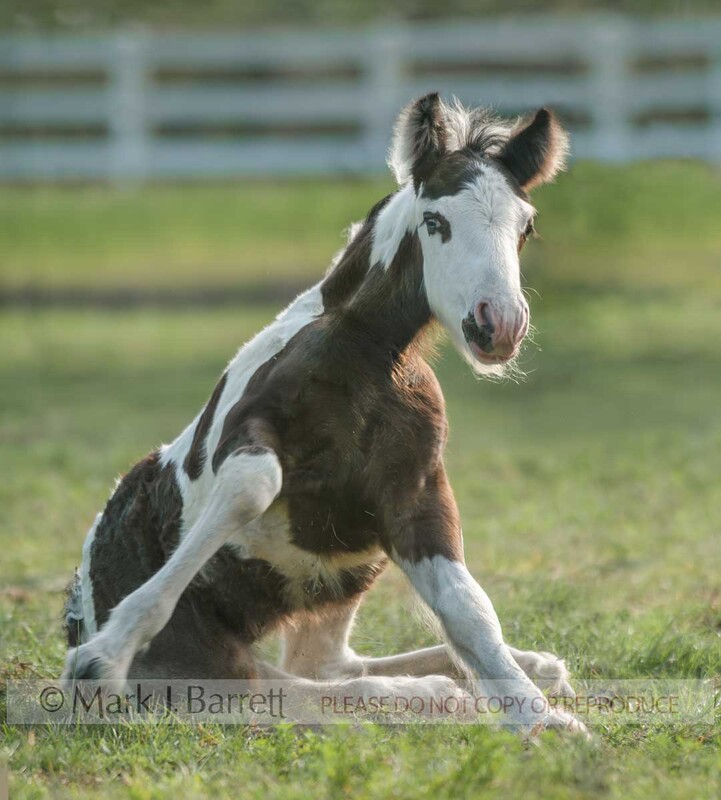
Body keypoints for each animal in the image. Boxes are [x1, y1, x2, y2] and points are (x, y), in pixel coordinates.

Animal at [63, 93, 586, 733]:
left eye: (525, 226)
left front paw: (541, 719)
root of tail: (80, 600)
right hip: (194, 659)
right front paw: (102, 660)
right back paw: (439, 691)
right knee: (279, 687)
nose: (499, 325)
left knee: (322, 666)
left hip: (350, 562)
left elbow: (468, 607)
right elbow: (253, 485)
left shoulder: (412, 492)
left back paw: (525, 669)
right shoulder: (245, 432)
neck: (364, 354)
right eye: (436, 223)